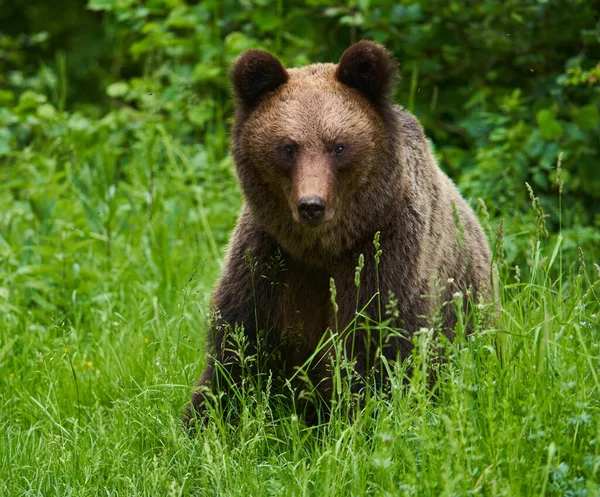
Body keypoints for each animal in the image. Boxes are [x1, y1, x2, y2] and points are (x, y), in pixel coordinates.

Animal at [184, 39, 492, 426]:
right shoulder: (269, 259)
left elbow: (374, 348)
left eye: (339, 146)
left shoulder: (383, 253)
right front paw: (205, 420)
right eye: (288, 147)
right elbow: (238, 352)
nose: (311, 205)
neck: (322, 249)